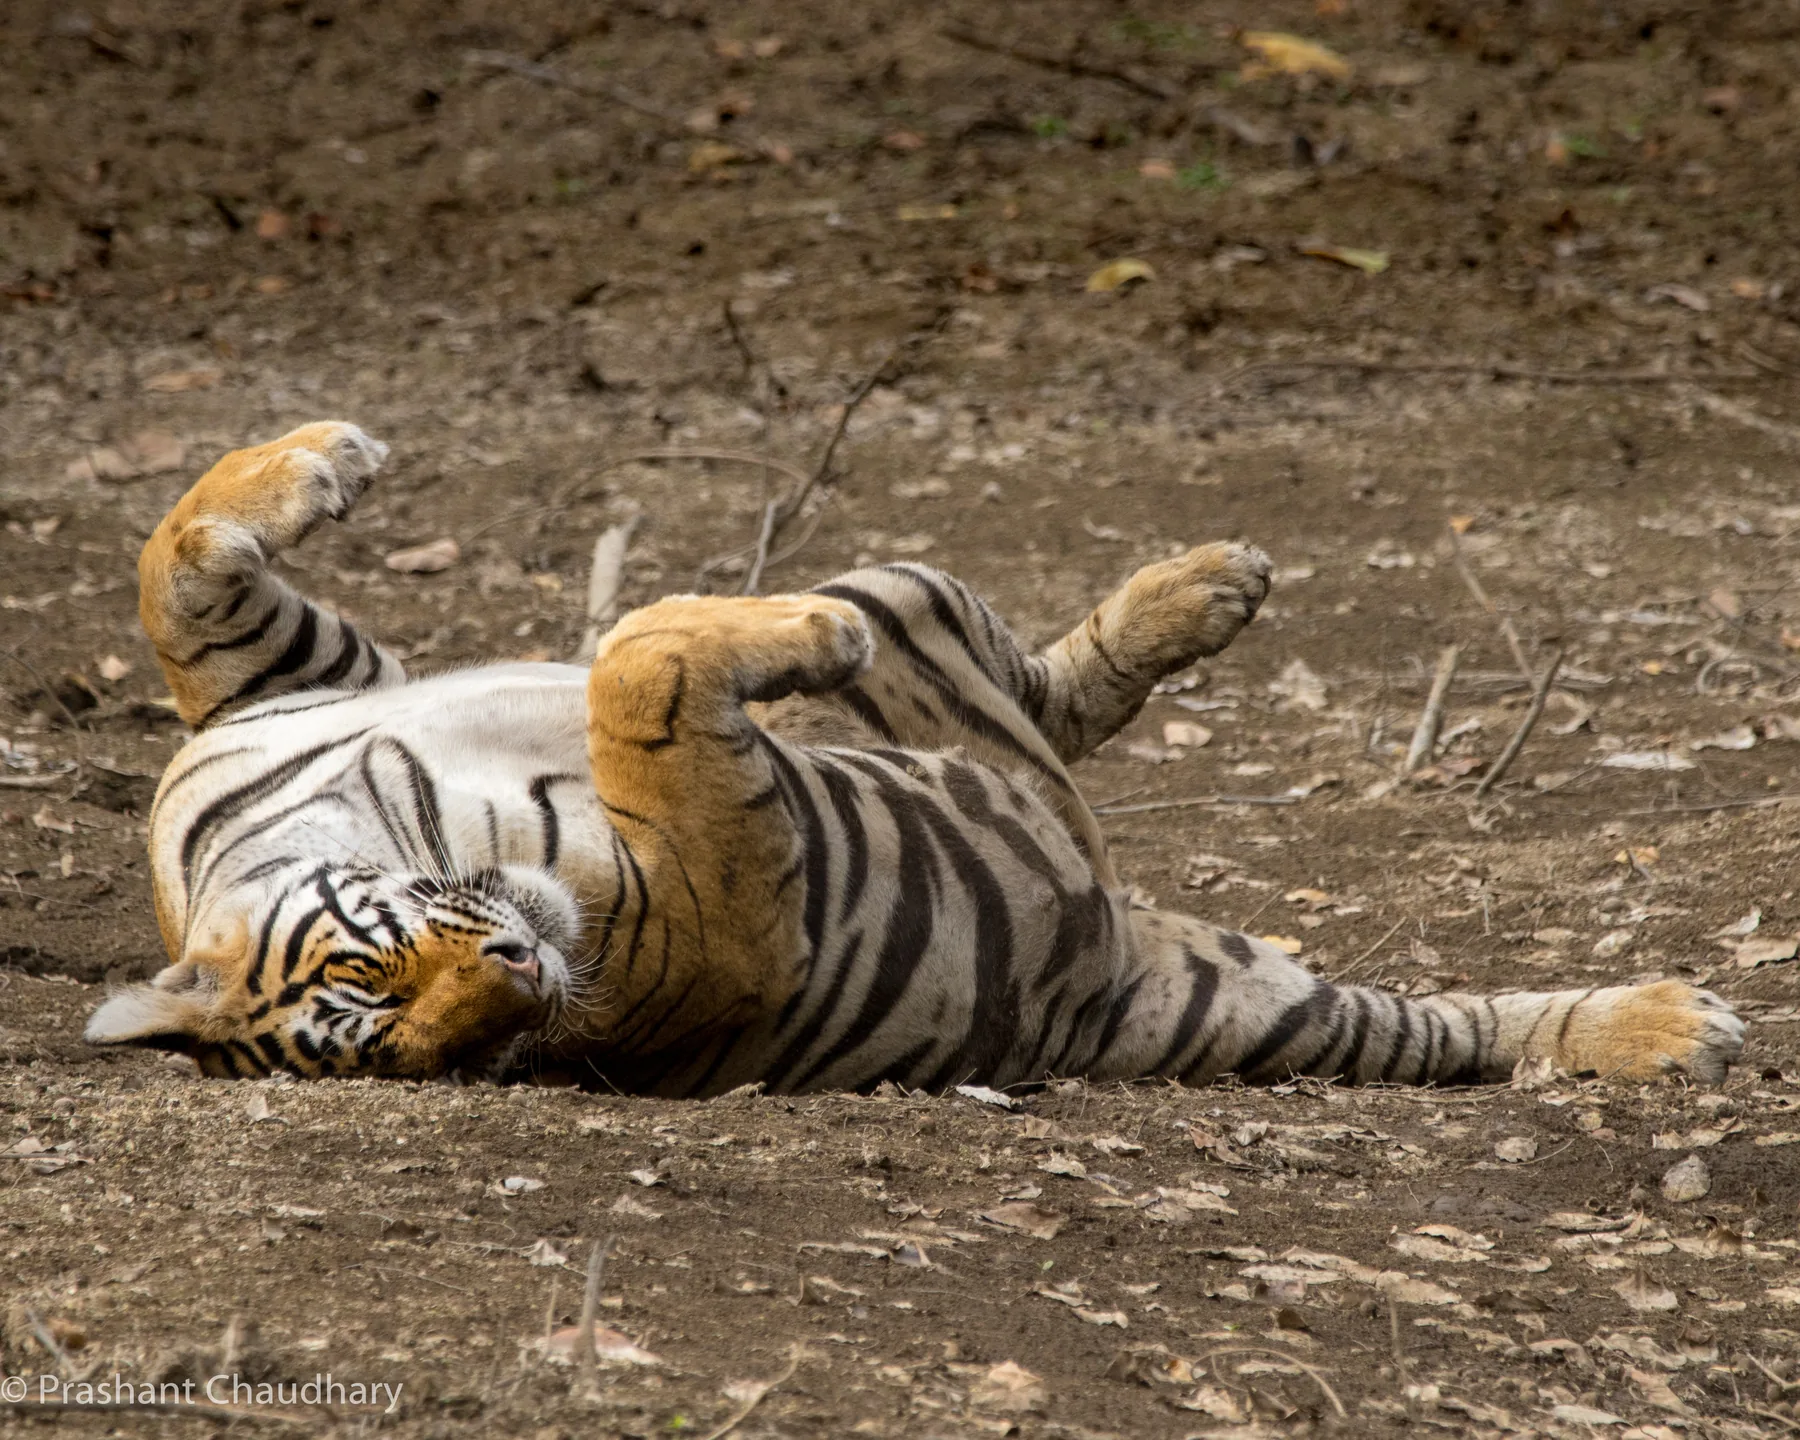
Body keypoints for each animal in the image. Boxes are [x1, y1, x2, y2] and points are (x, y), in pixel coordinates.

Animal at [84, 421, 1745, 1094]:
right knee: (1444, 1028)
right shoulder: (718, 928)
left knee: (1038, 686)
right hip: (1258, 1004)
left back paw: (1209, 584)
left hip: (927, 597)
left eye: (368, 975)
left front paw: (321, 458)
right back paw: (1667, 1027)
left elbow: (175, 564)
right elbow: (641, 678)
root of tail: (1113, 929)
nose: (516, 994)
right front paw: (753, 635)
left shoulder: (287, 688)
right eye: (418, 1042)